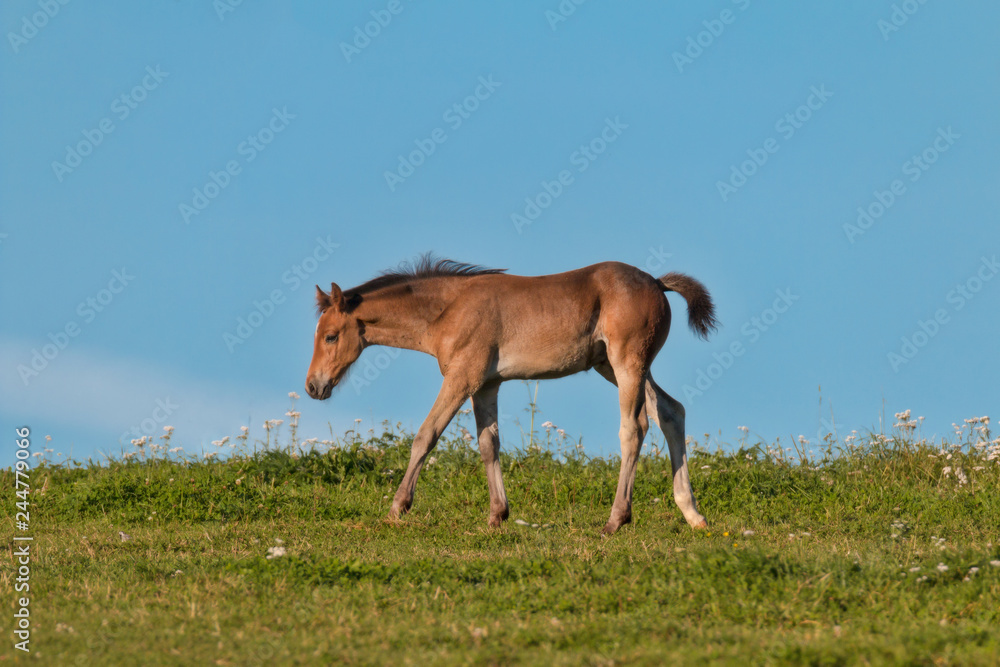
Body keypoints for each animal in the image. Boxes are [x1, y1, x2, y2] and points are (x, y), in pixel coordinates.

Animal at [305, 256, 718, 534]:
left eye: (330, 336)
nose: (313, 386)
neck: (447, 310)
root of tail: (656, 282)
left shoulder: (462, 378)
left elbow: (425, 436)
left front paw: (397, 508)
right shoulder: (486, 384)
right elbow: (489, 444)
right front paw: (496, 515)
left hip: (627, 362)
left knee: (634, 428)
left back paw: (616, 520)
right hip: (616, 366)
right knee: (671, 412)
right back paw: (693, 514)